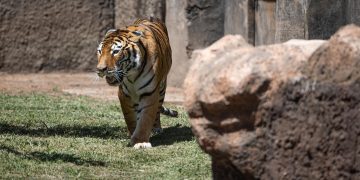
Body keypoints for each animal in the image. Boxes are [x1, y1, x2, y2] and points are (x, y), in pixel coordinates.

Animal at [96, 17, 178, 148]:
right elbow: (130, 118)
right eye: (100, 51)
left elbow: (145, 118)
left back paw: (156, 128)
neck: (131, 75)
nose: (100, 69)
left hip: (161, 88)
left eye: (115, 51)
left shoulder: (150, 93)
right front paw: (133, 135)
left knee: (157, 110)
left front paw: (140, 142)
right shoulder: (124, 95)